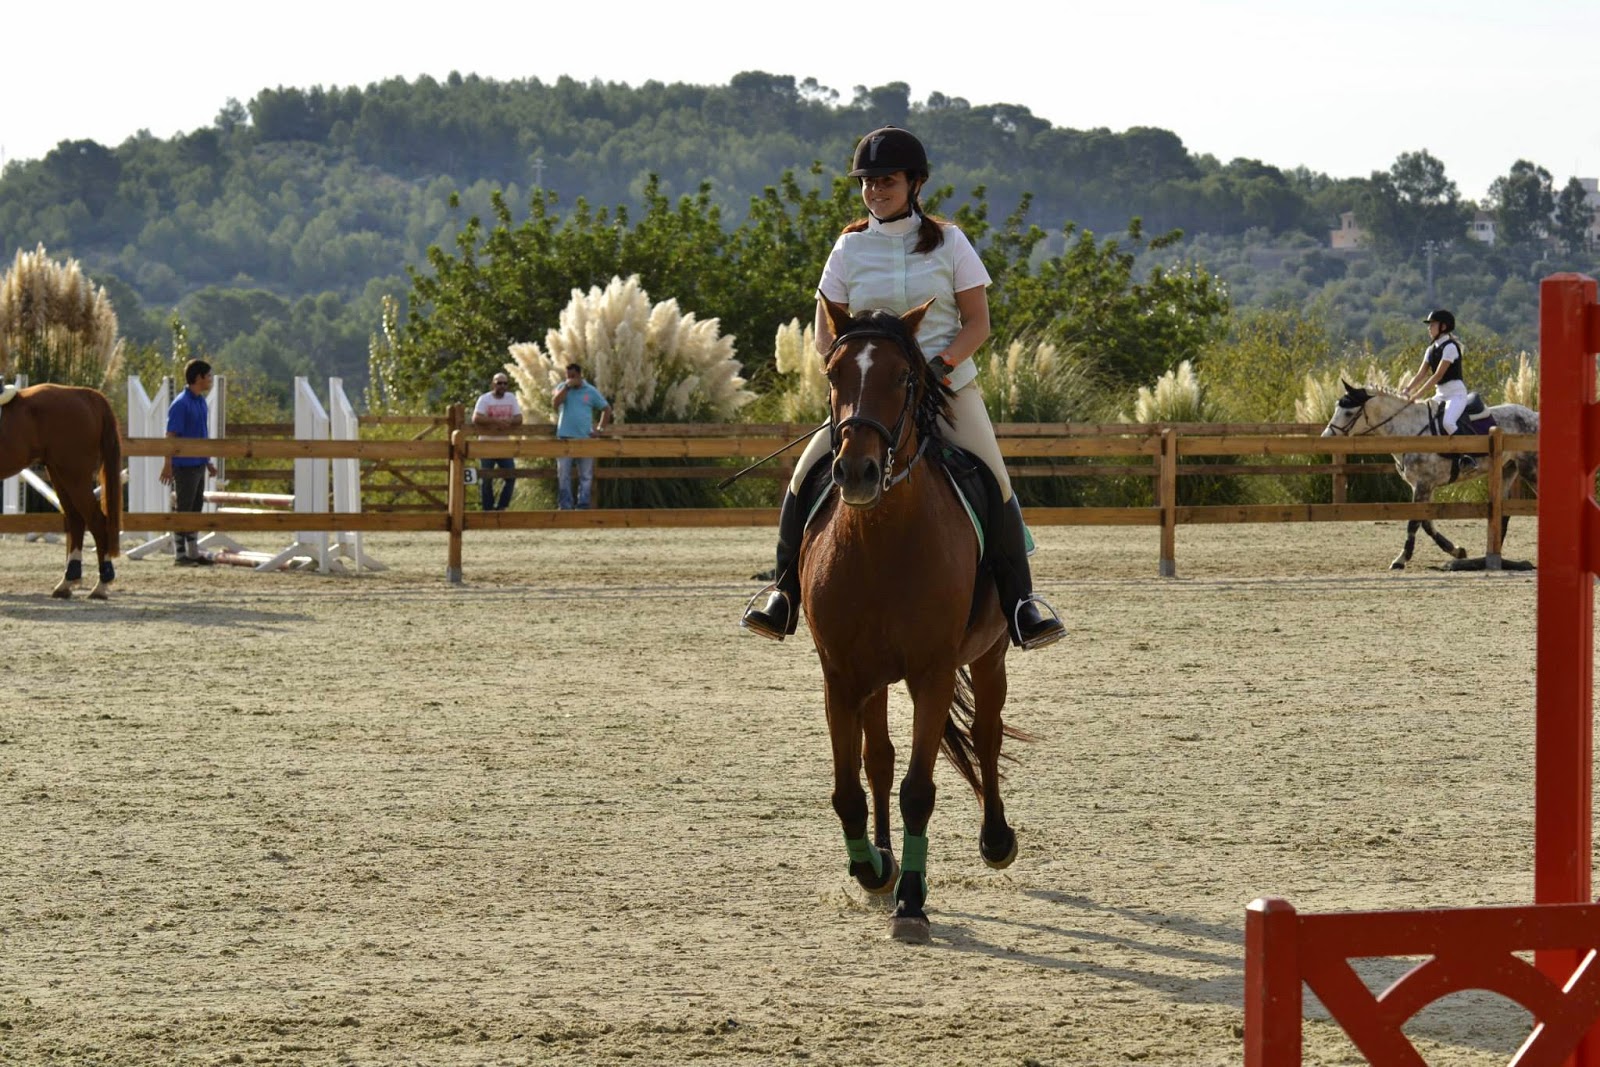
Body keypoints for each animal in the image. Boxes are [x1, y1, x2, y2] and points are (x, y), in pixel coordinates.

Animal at [0, 383, 122, 598]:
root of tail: (82, 393)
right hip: (58, 473)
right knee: (76, 519)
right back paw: (67, 582)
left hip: (73, 474)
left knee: (96, 521)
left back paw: (101, 584)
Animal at [800, 297, 1029, 943]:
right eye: (833, 374)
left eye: (905, 377)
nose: (856, 472)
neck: (881, 542)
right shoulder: (841, 677)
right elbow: (849, 789)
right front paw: (873, 870)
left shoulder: (932, 673)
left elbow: (919, 791)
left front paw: (910, 901)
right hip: (875, 677)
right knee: (878, 759)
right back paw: (881, 858)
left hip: (990, 654)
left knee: (987, 736)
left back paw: (996, 840)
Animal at [1320, 381, 1538, 570]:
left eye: (1348, 412)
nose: (1325, 438)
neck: (1408, 431)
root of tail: (1533, 415)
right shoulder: (1423, 486)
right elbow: (1426, 522)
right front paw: (1457, 550)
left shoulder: (1423, 484)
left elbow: (1414, 522)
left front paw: (1400, 559)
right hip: (1507, 469)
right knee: (1504, 512)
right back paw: (1489, 557)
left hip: (1530, 470)